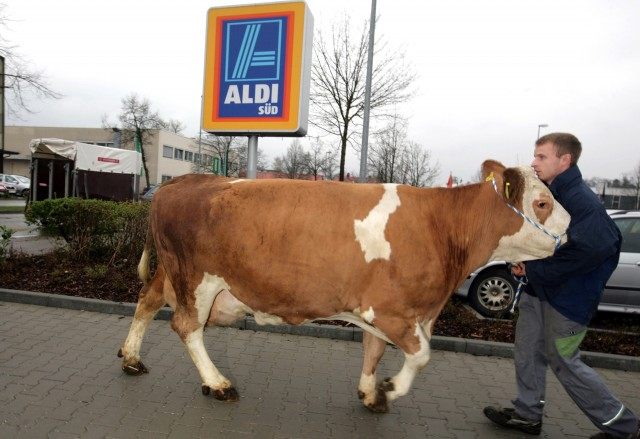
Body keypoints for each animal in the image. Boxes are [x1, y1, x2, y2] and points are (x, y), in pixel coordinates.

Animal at [117, 160, 568, 414]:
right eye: (542, 203)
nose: (570, 230)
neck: (441, 227)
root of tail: (182, 181)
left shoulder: (391, 310)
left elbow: (375, 350)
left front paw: (371, 394)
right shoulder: (389, 309)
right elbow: (421, 355)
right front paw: (390, 389)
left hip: (172, 274)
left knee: (146, 300)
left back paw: (132, 358)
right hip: (196, 280)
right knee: (187, 327)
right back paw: (218, 383)